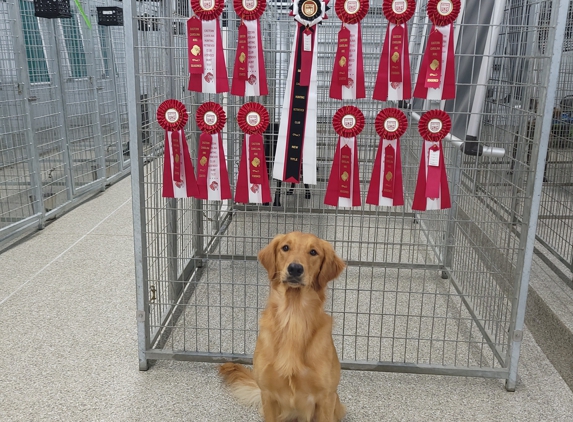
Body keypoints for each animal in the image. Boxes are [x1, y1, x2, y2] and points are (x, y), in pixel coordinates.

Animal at [218, 232, 344, 420]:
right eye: (285, 247)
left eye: (313, 252)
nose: (295, 269)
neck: (293, 317)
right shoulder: (268, 394)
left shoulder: (326, 398)